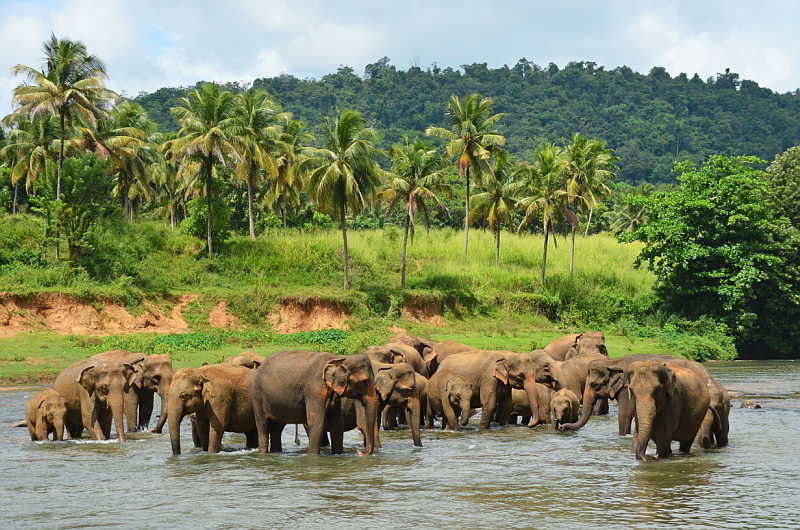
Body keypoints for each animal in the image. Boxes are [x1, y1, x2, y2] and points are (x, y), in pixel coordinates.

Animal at [252, 350, 380, 454]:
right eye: (364, 381)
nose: (360, 452)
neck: (337, 358)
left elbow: (337, 422)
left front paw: (338, 455)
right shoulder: (314, 390)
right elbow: (317, 422)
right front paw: (313, 457)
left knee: (276, 428)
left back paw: (276, 452)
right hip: (258, 396)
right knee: (263, 426)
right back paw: (263, 453)